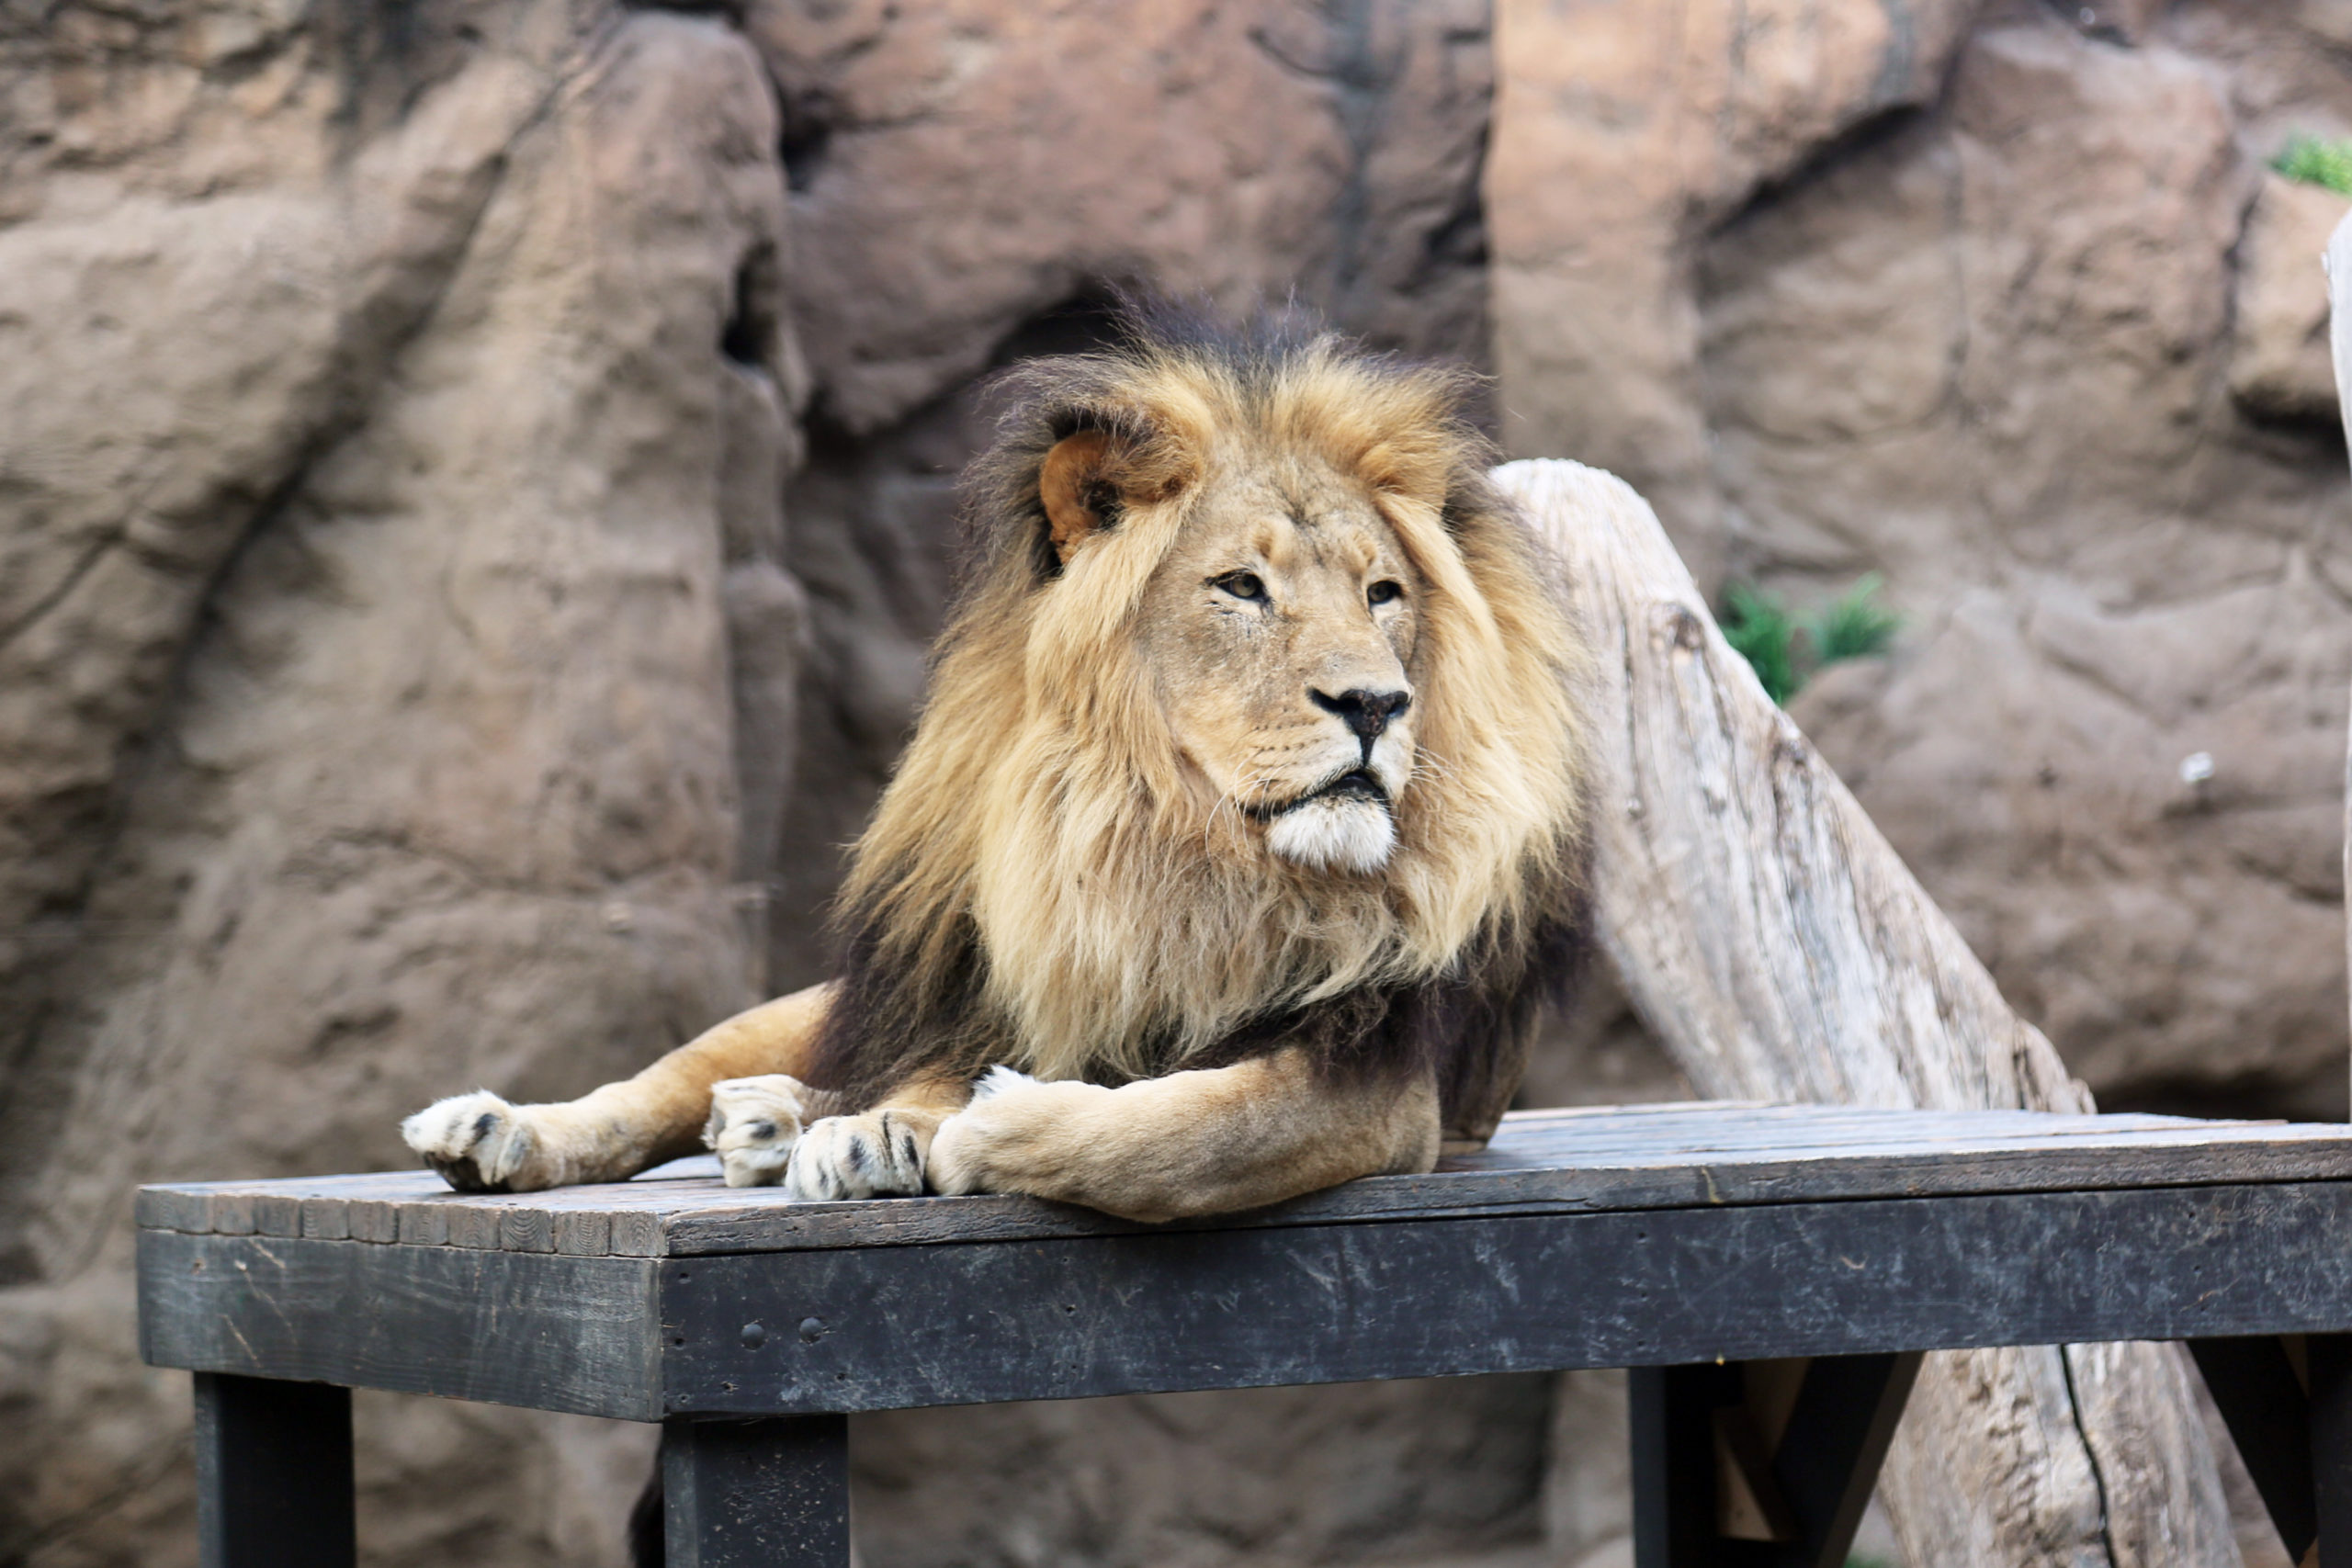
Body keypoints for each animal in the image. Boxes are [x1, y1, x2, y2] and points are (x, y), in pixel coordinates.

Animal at [404, 300, 1589, 1222]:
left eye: (1383, 593)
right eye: (1242, 588)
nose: (1376, 704)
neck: (1173, 840)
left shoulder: (1381, 1079)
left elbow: (1187, 1134)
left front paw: (988, 1124)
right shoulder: (986, 976)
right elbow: (934, 1071)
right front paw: (883, 1130)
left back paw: (768, 1122)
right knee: (674, 1076)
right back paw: (503, 1128)